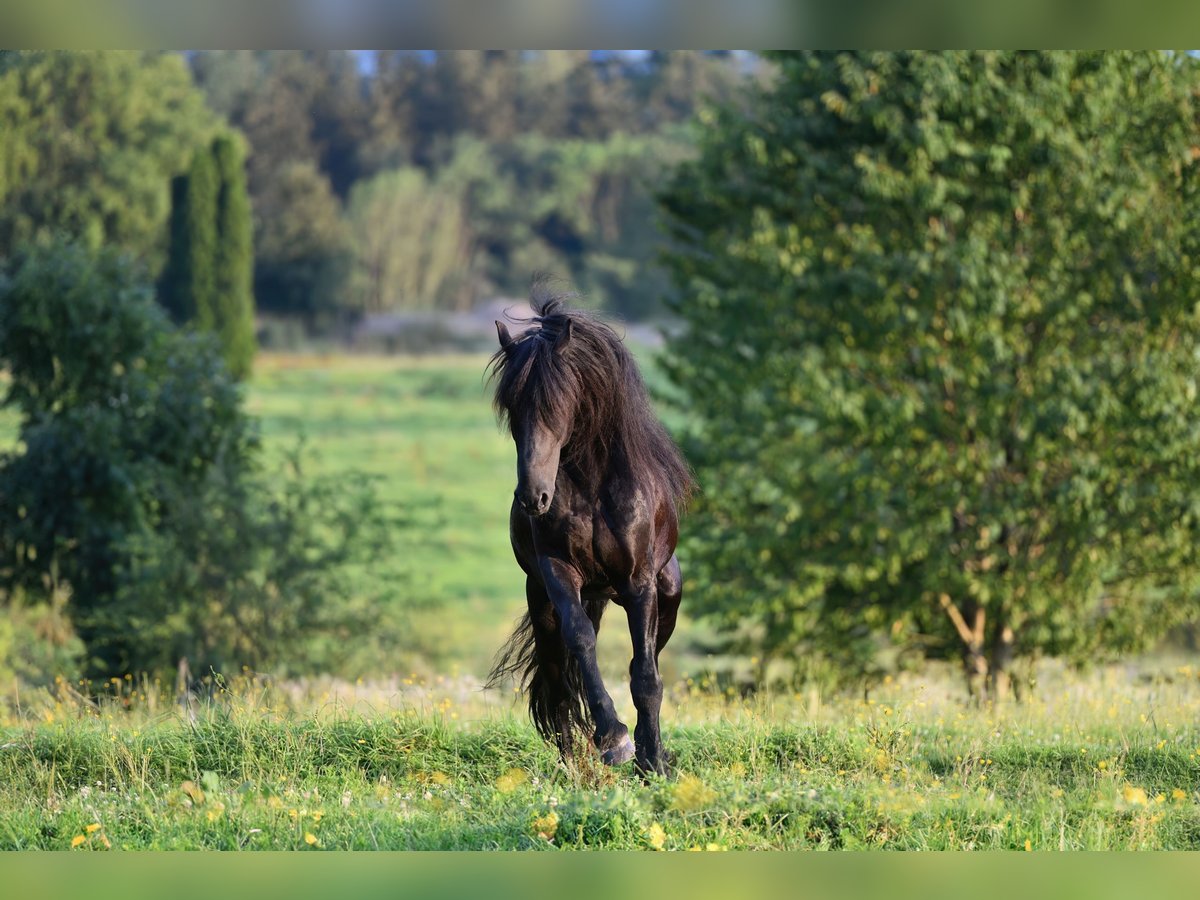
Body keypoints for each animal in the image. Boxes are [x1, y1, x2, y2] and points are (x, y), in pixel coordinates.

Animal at [484, 290, 696, 777]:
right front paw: (613, 739)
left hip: (665, 595)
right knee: (560, 680)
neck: (592, 486)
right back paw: (573, 764)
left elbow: (645, 674)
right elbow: (580, 644)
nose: (533, 497)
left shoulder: (638, 583)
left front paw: (652, 760)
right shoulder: (559, 573)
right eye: (511, 407)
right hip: (543, 602)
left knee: (646, 661)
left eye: (556, 401)